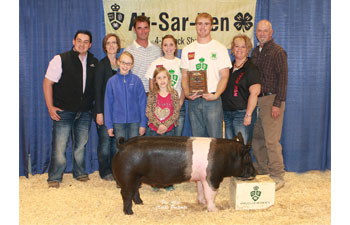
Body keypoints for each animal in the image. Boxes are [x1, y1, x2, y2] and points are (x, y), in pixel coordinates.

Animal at [110, 133, 256, 215]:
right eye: (248, 159)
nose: (255, 173)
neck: (228, 157)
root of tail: (122, 146)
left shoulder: (201, 178)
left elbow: (200, 190)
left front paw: (201, 203)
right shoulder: (212, 178)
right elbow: (211, 194)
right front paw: (215, 210)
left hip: (136, 178)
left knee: (135, 191)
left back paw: (141, 203)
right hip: (128, 176)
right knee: (126, 194)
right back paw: (130, 213)